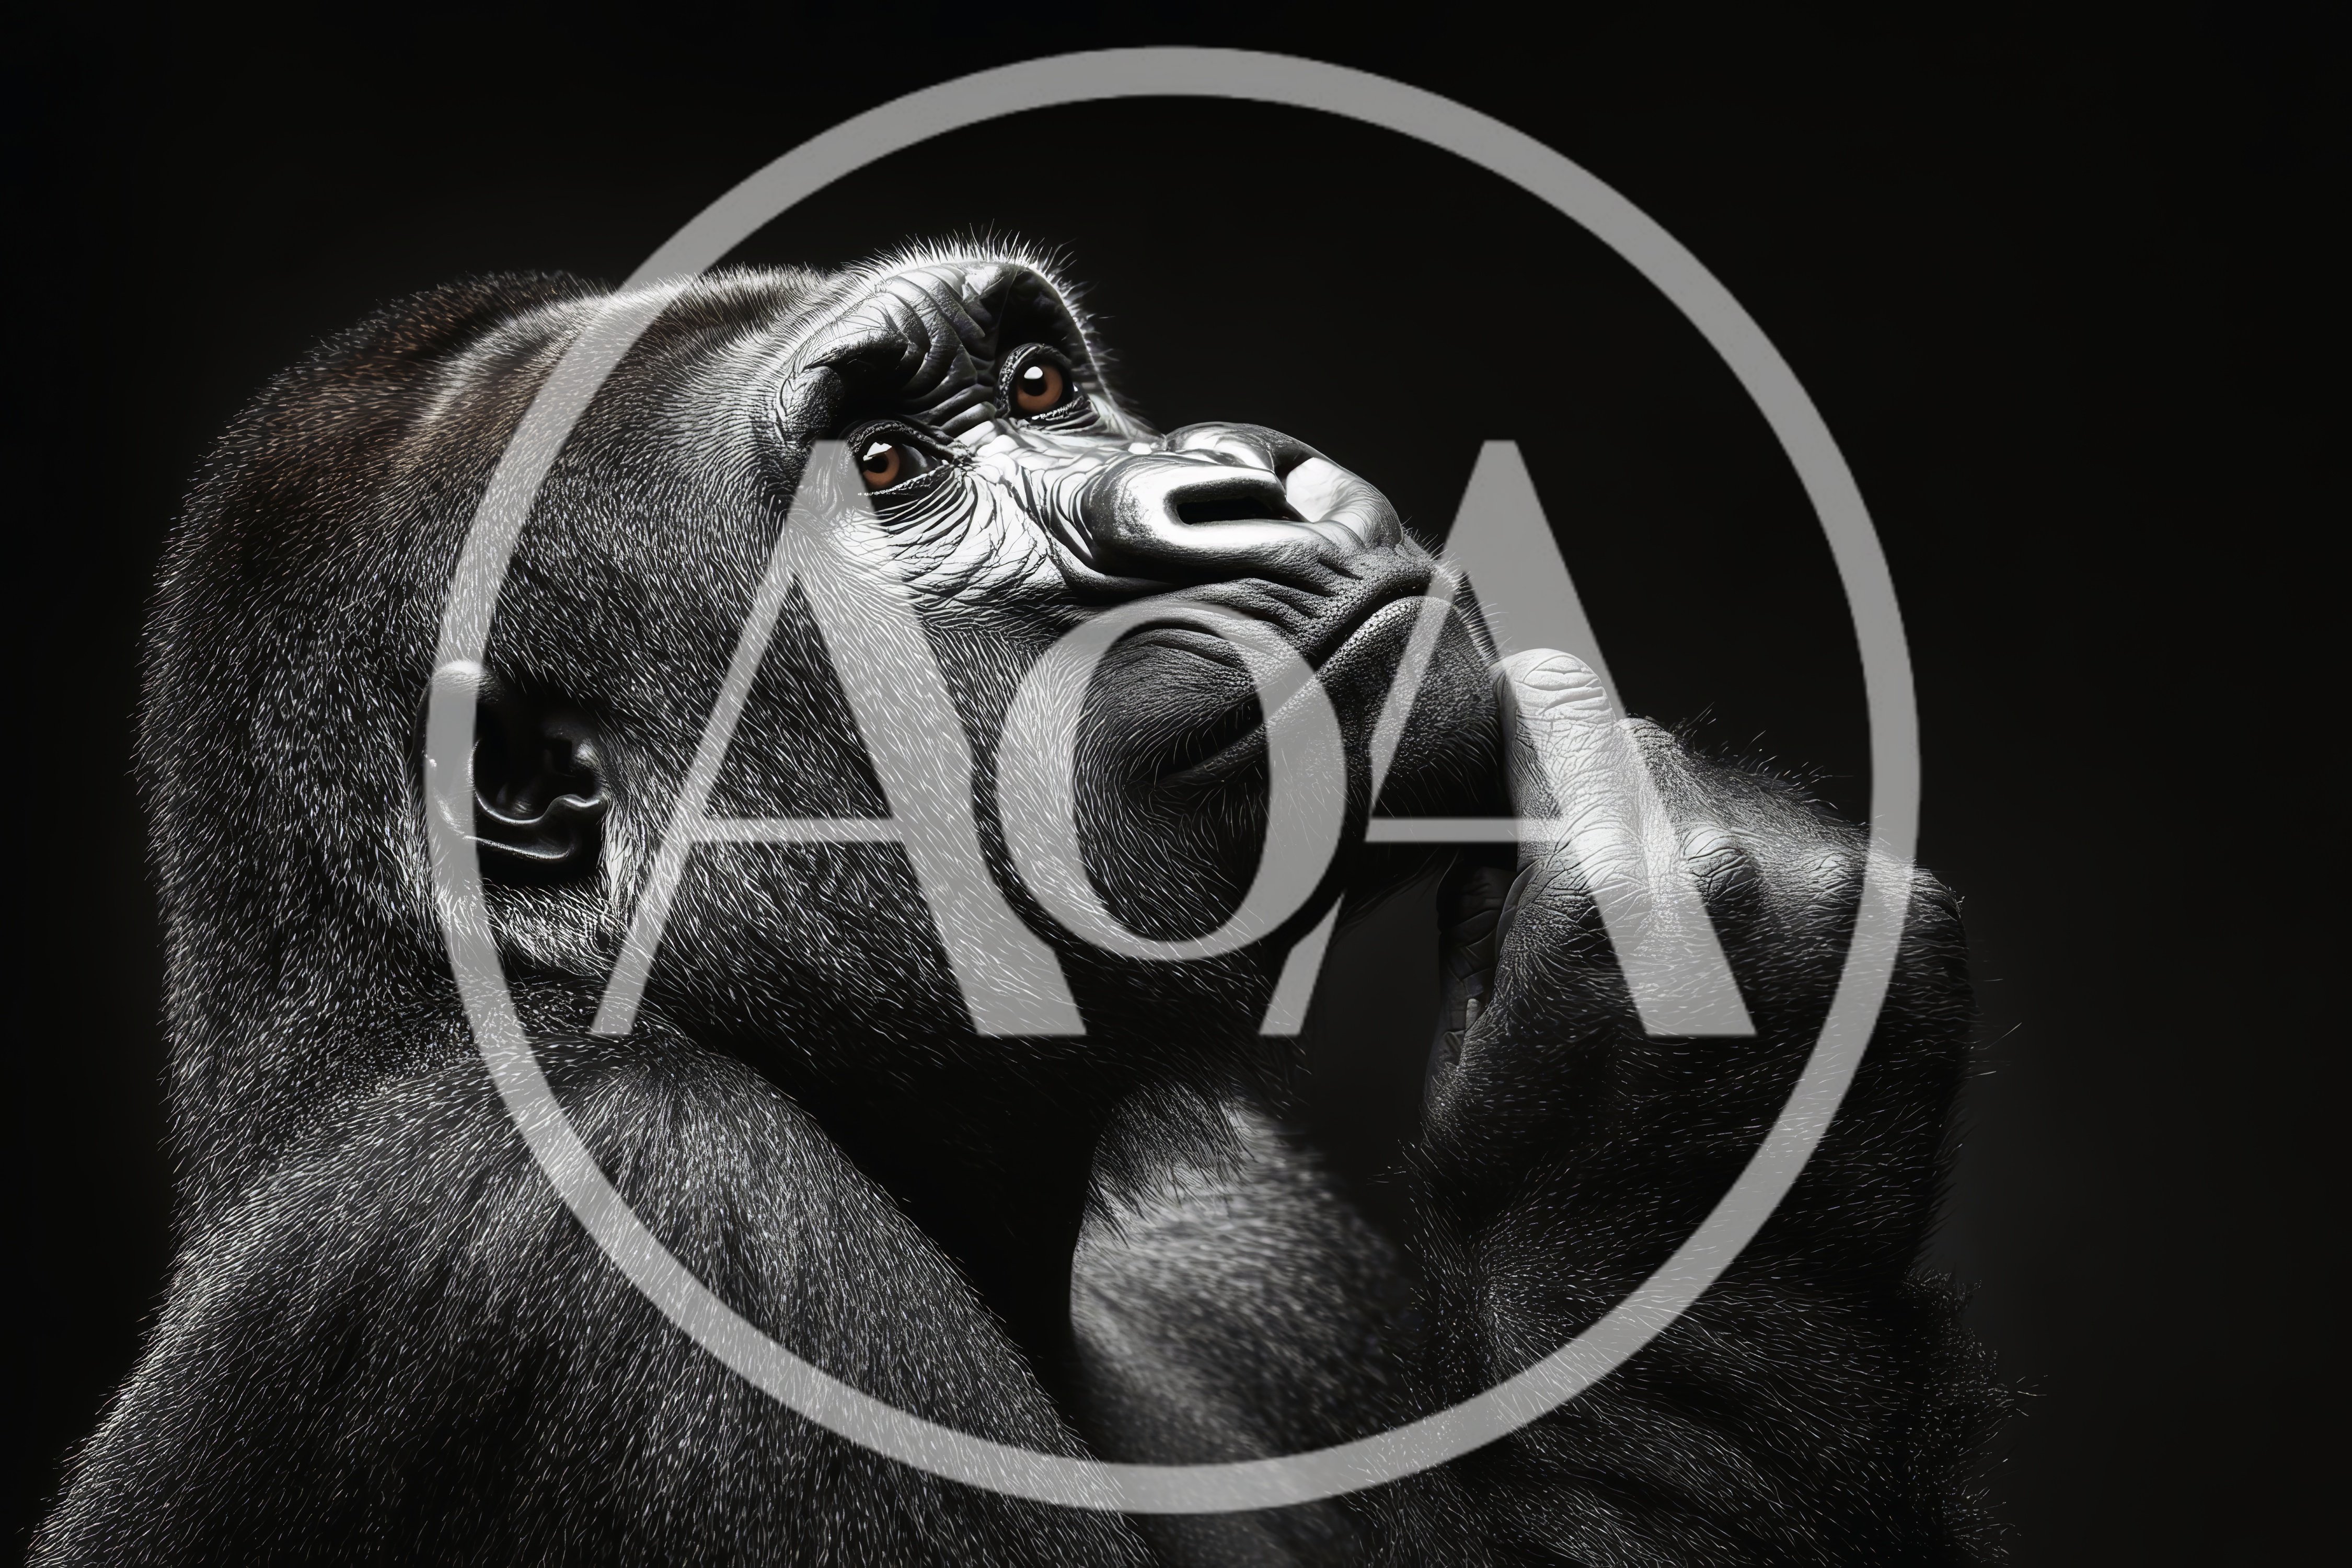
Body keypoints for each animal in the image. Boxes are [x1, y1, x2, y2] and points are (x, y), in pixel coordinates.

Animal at [32, 249, 2004, 1565]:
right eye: (891, 471)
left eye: (1045, 384)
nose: (1237, 475)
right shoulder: (637, 1214)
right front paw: (1708, 1071)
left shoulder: (1231, 1245)